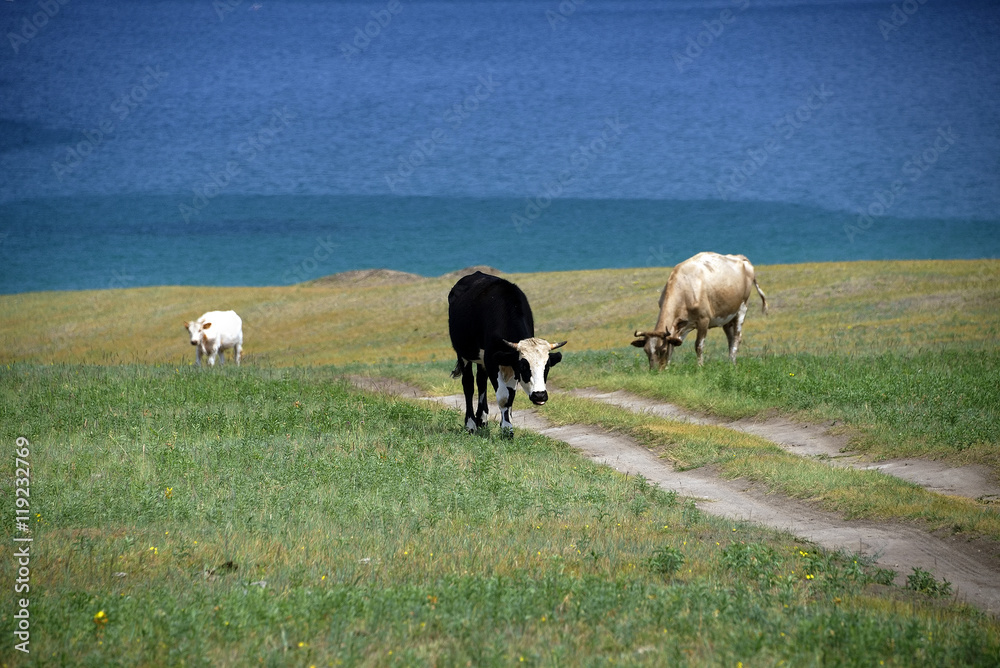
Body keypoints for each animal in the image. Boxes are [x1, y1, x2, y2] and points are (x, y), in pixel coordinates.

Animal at [448, 271, 566, 435]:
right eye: (524, 366)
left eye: (547, 367)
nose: (540, 395)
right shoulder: (492, 360)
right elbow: (504, 396)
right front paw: (506, 428)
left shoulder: (508, 364)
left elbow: (511, 395)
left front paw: (507, 424)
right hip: (463, 354)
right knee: (469, 385)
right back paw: (471, 424)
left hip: (481, 360)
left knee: (481, 381)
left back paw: (482, 420)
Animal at [631, 252, 767, 369]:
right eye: (646, 350)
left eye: (662, 350)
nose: (654, 371)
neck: (685, 288)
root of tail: (740, 257)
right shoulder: (681, 326)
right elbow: (673, 344)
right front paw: (668, 369)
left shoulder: (703, 320)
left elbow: (698, 346)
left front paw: (700, 367)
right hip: (727, 317)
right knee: (731, 339)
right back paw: (730, 362)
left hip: (742, 309)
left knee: (737, 338)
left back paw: (732, 365)